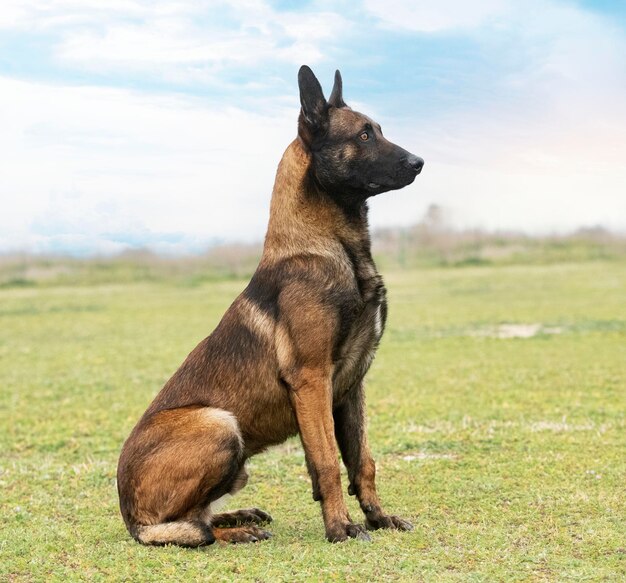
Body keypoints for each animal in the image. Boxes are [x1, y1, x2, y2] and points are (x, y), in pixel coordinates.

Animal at [115, 66, 422, 544]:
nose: (419, 162)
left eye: (379, 130)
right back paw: (235, 533)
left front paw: (377, 517)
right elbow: (327, 462)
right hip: (220, 424)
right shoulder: (312, 379)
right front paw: (340, 527)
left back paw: (238, 519)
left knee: (197, 519)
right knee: (187, 530)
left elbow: (362, 461)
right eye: (365, 135)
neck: (328, 246)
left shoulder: (352, 384)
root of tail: (130, 519)